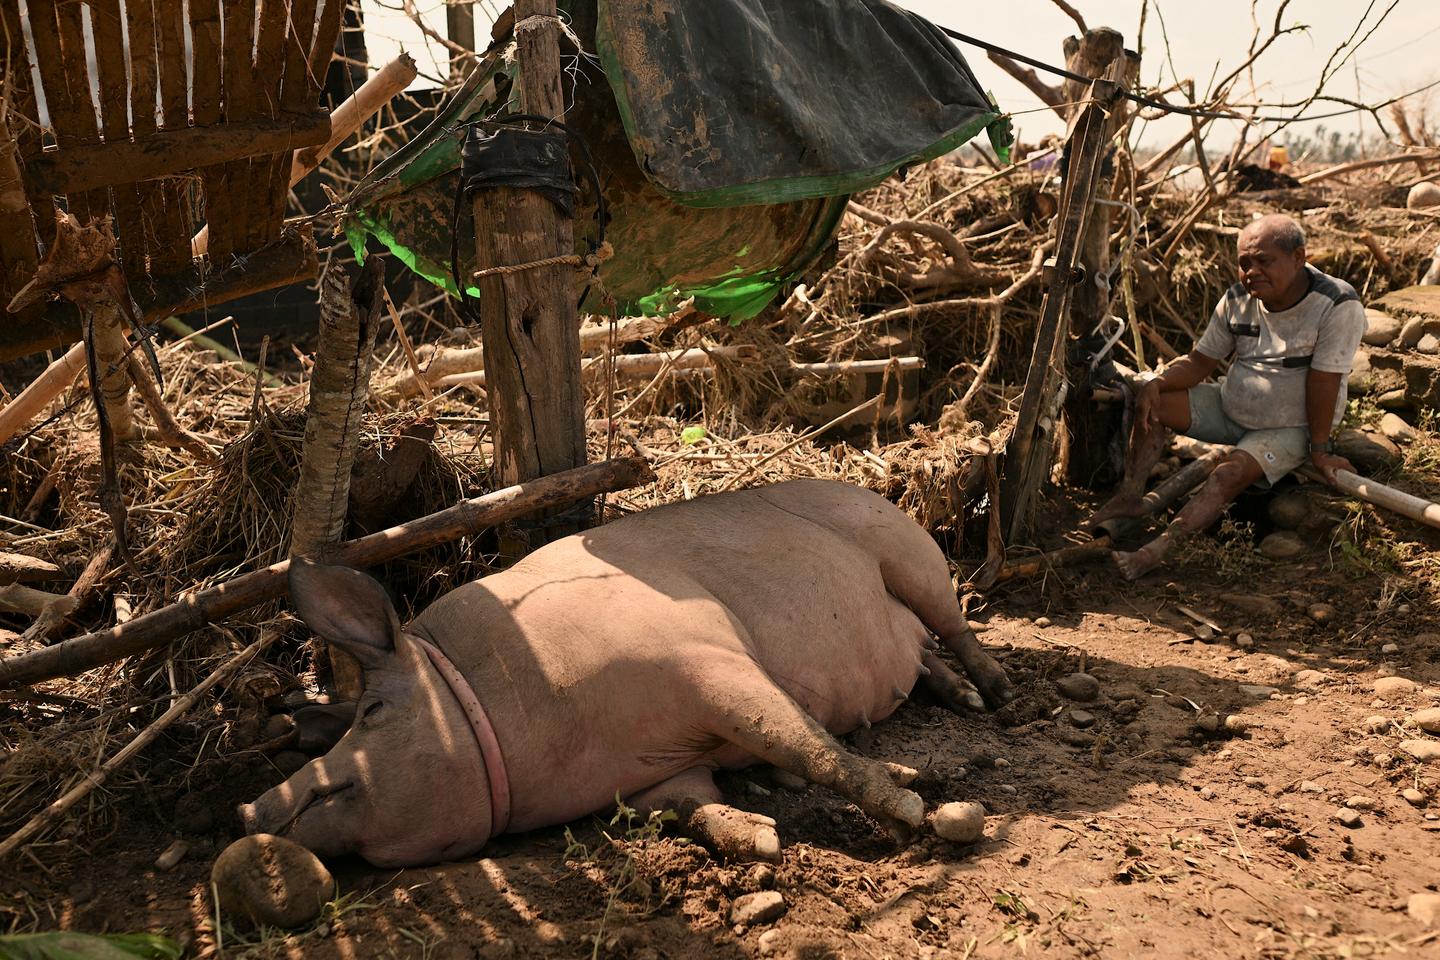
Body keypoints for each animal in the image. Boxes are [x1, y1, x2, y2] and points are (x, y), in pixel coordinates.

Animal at [241, 483, 1013, 869]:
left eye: (372, 712)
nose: (247, 810)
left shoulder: (708, 659)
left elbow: (806, 746)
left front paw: (912, 809)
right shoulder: (654, 775)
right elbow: (693, 806)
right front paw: (762, 838)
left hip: (902, 543)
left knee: (951, 621)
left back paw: (996, 697)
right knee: (923, 652)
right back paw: (963, 697)